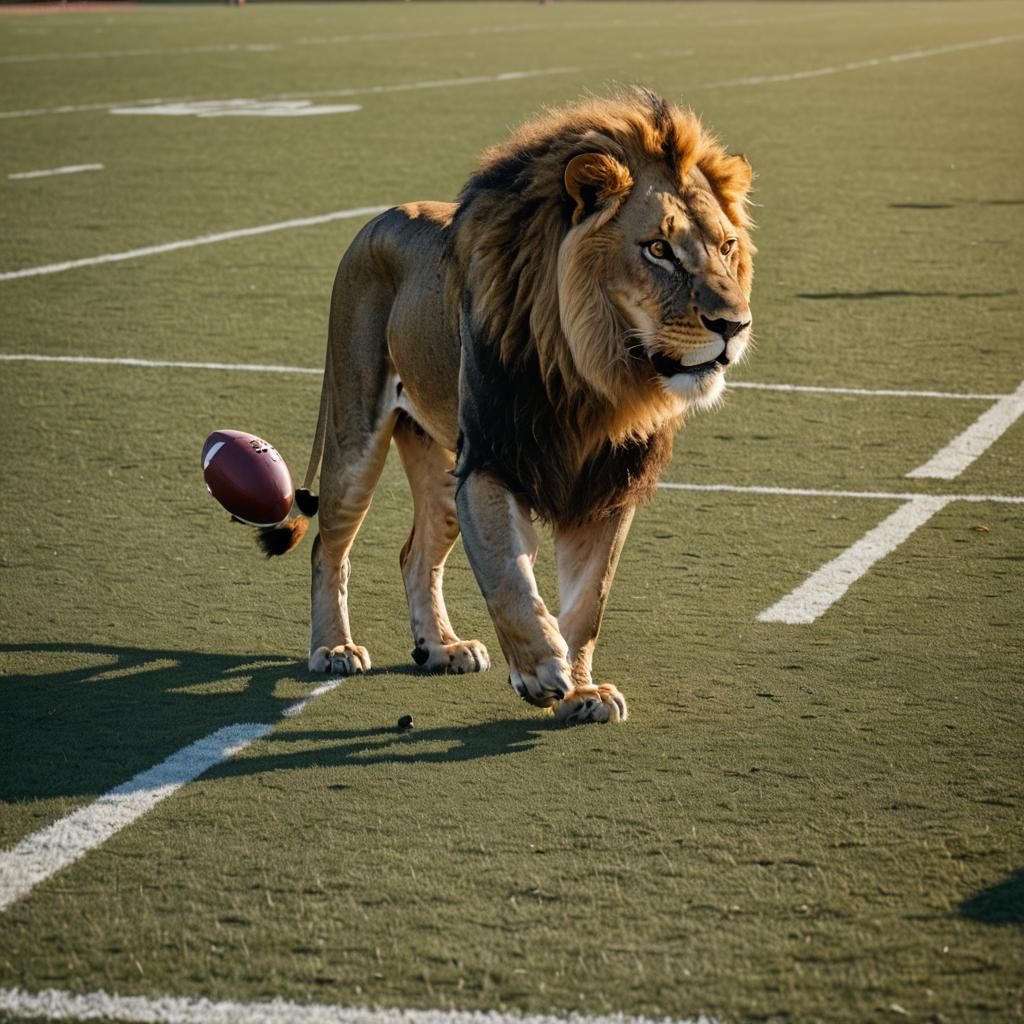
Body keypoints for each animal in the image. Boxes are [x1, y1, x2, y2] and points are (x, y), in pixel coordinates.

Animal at [260, 88, 755, 725]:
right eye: (658, 249)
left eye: (726, 246)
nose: (734, 325)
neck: (594, 378)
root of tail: (379, 216)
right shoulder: (491, 461)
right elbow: (507, 574)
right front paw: (540, 670)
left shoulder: (606, 484)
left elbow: (589, 599)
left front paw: (583, 690)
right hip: (356, 439)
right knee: (328, 544)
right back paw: (334, 648)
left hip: (440, 467)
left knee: (415, 554)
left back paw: (441, 647)